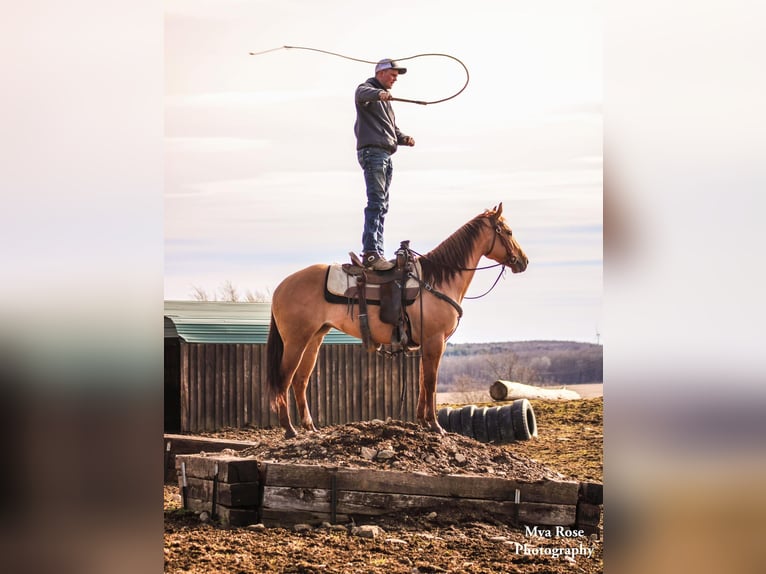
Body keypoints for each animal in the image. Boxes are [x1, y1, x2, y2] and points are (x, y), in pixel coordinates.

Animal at [266, 205, 528, 438]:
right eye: (508, 232)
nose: (523, 261)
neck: (437, 280)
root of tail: (282, 286)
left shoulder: (427, 344)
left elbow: (422, 381)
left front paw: (423, 422)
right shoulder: (435, 341)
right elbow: (431, 383)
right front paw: (436, 426)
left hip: (315, 338)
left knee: (300, 381)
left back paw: (310, 427)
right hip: (296, 342)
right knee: (284, 380)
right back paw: (289, 429)